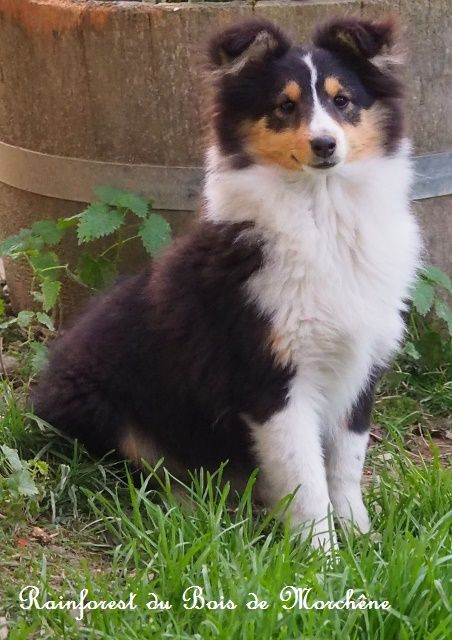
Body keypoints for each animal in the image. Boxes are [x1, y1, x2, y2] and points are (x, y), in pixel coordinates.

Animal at [33, 16, 422, 549]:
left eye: (343, 100)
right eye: (285, 105)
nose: (325, 145)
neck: (323, 215)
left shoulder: (361, 363)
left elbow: (345, 465)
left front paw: (362, 542)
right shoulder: (270, 378)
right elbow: (306, 479)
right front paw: (321, 557)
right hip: (103, 409)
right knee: (155, 472)